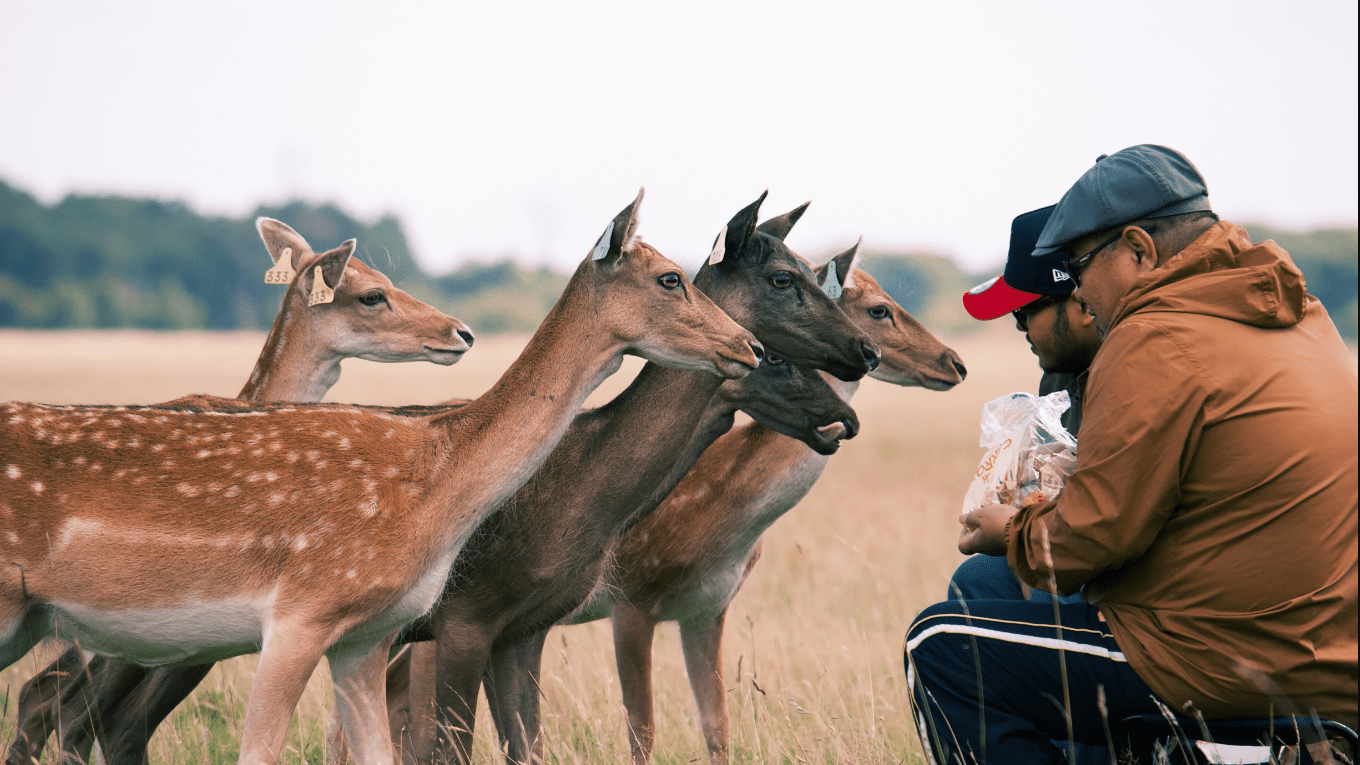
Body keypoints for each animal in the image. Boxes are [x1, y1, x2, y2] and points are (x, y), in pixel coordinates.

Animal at [568, 236, 973, 756]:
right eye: (879, 309)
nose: (955, 364)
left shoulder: (709, 608)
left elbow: (718, 726)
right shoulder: (629, 598)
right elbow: (642, 732)